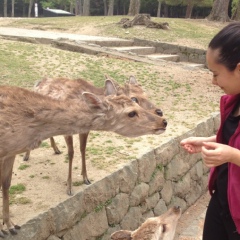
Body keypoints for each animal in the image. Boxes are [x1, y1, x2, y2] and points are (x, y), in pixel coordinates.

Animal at [23, 76, 164, 196]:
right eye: (134, 99)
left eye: (146, 93)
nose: (160, 112)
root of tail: (38, 82)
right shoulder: (68, 130)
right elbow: (71, 153)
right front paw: (69, 187)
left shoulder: (85, 130)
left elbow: (83, 149)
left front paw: (85, 177)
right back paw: (26, 155)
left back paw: (56, 149)